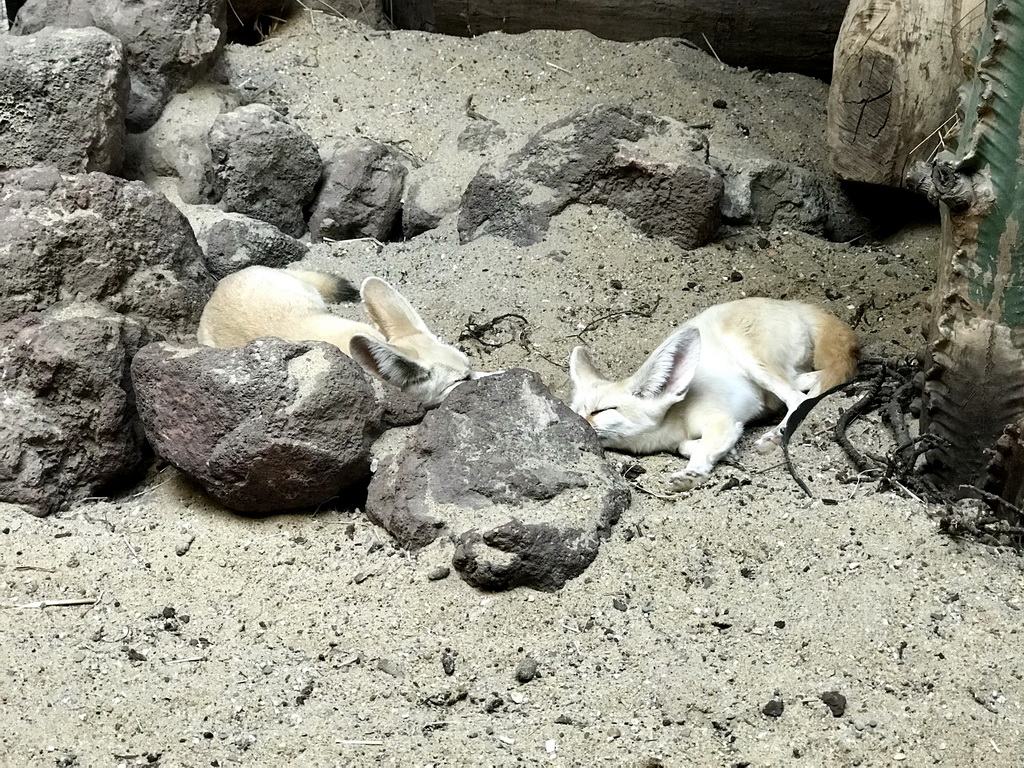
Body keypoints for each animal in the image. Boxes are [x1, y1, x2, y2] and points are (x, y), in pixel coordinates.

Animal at [569, 301, 856, 493]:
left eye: (600, 411)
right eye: (575, 411)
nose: (576, 425)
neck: (675, 418)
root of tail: (795, 305)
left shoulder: (721, 420)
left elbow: (705, 447)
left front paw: (694, 472)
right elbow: (688, 446)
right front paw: (728, 452)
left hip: (750, 357)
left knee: (799, 398)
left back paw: (776, 435)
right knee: (812, 381)